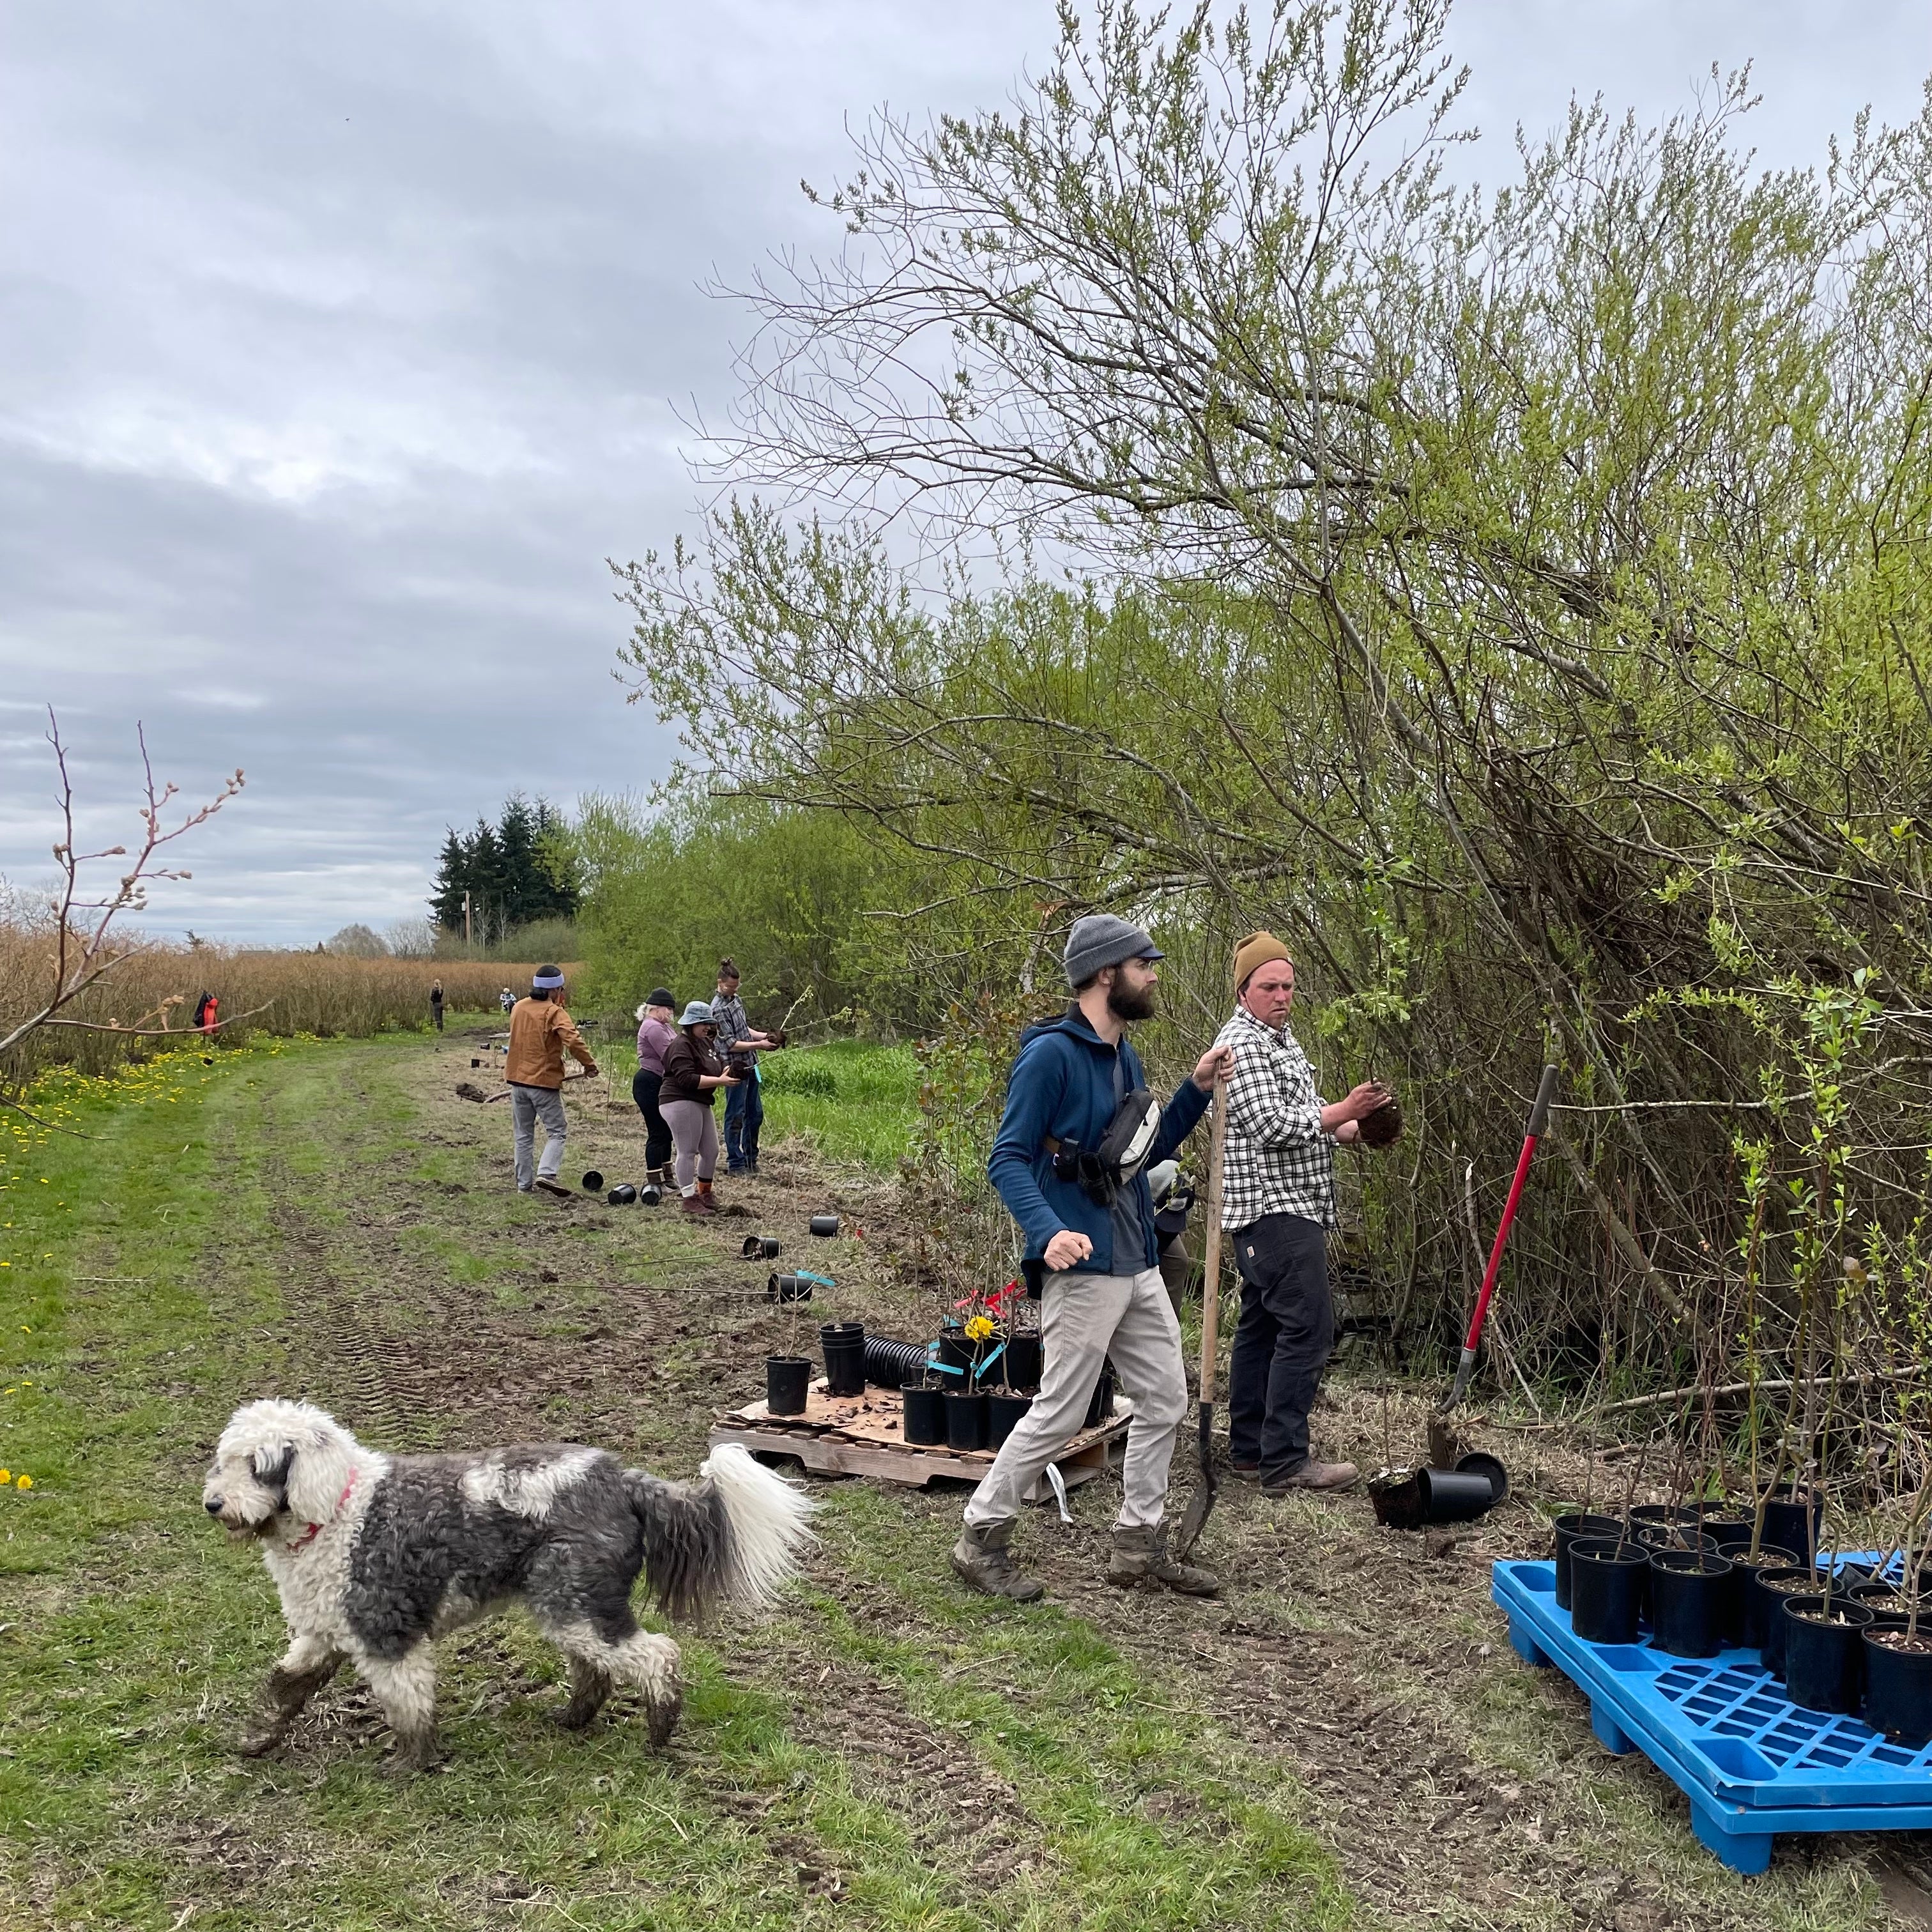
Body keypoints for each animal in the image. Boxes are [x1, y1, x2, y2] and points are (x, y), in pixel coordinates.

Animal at [206, 1399, 815, 1769]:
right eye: (225, 1462)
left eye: (259, 1465)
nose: (213, 1504)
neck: (334, 1510)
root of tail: (622, 1479)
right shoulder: (322, 1633)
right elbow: (283, 1687)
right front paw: (255, 1740)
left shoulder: (388, 1637)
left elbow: (409, 1707)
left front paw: (410, 1763)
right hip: (570, 1607)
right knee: (596, 1671)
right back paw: (572, 1719)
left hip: (578, 1605)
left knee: (658, 1656)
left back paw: (660, 1730)